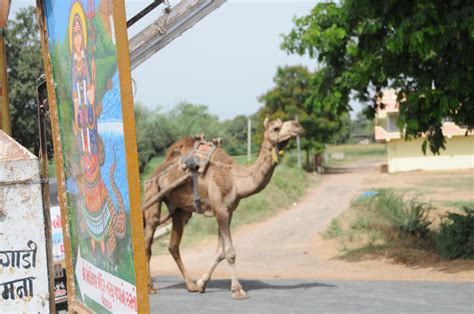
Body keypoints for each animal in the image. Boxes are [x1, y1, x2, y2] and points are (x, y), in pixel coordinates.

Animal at [142, 118, 304, 300]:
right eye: (276, 128)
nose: (298, 126)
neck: (236, 180)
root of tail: (154, 173)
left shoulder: (228, 211)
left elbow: (220, 251)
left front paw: (201, 284)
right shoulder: (220, 210)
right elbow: (230, 252)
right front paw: (238, 290)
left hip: (180, 210)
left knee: (173, 245)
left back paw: (190, 285)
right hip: (152, 196)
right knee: (148, 243)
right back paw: (151, 287)